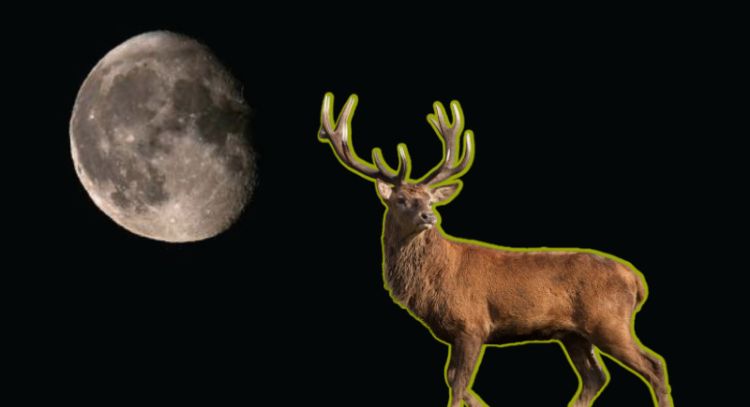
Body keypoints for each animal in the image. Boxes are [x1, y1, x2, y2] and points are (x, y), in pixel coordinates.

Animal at [318, 92, 672, 407]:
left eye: (430, 199)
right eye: (402, 199)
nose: (429, 216)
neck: (433, 281)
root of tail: (636, 281)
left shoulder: (472, 323)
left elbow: (457, 385)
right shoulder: (457, 333)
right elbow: (457, 382)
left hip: (608, 320)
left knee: (653, 366)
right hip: (573, 333)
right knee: (595, 377)